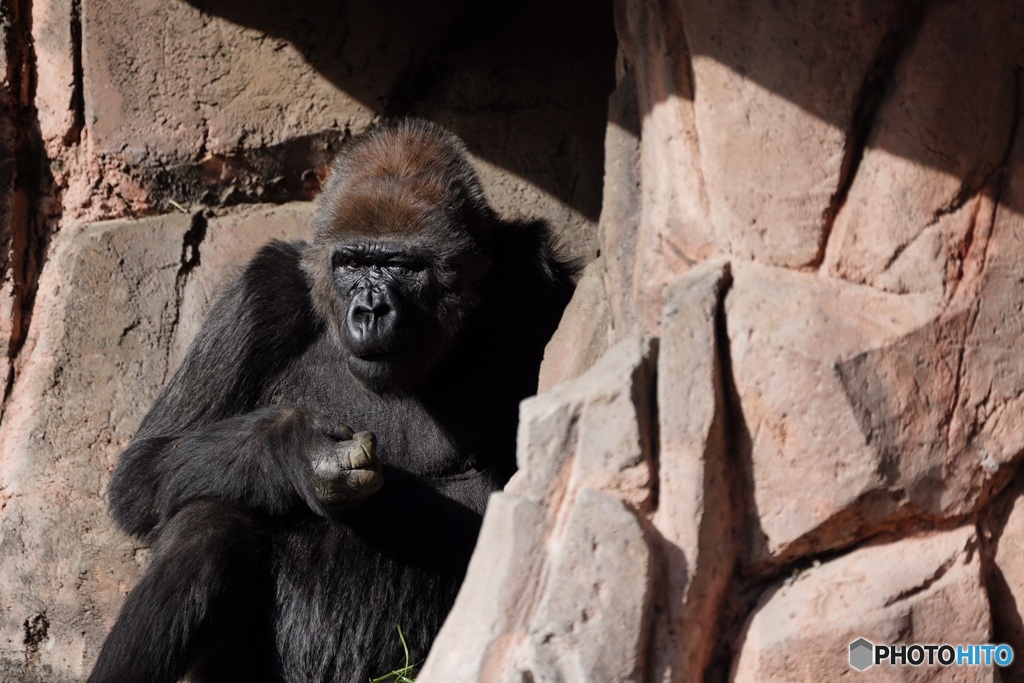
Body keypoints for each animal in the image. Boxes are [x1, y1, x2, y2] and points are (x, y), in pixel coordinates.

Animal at [88, 118, 577, 683]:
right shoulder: (261, 295)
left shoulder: (535, 287)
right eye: (352, 263)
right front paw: (293, 450)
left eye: (400, 265)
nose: (370, 310)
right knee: (208, 516)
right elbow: (140, 473)